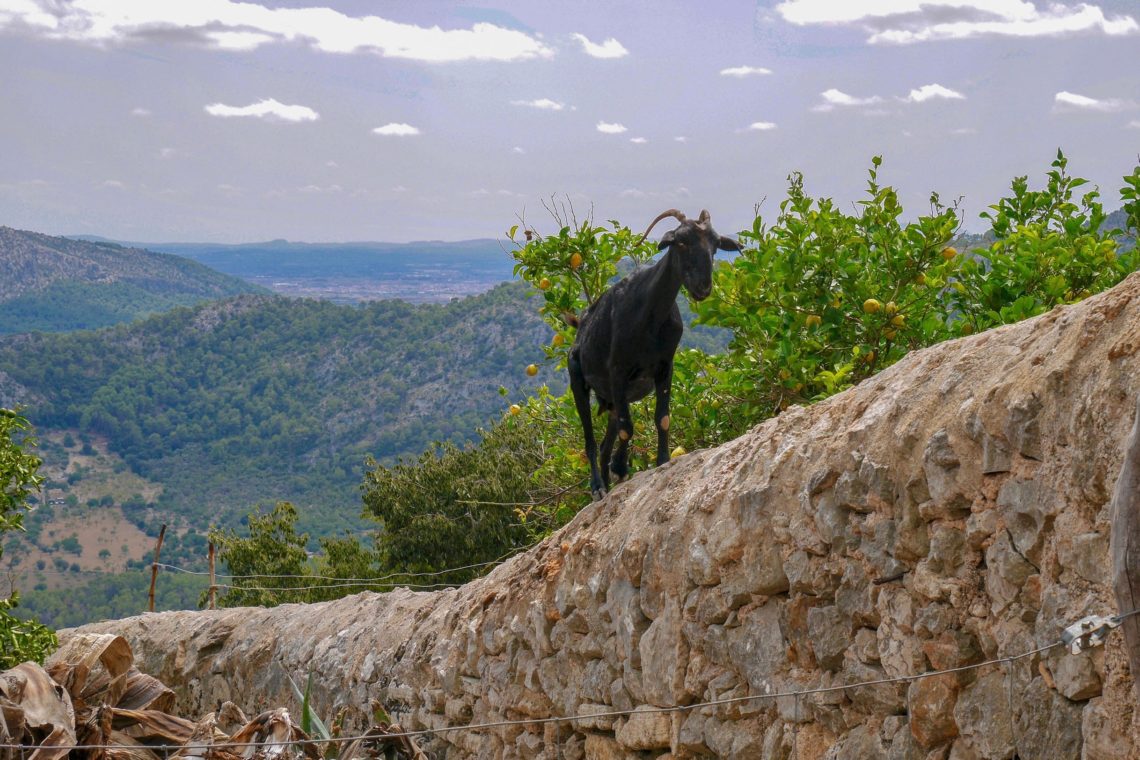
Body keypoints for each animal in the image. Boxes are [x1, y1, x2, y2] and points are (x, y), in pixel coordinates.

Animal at [567, 208, 738, 499]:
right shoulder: (618, 370)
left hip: (612, 401)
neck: (649, 315)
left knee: (603, 444)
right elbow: (627, 428)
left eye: (715, 245)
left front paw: (662, 461)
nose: (703, 288)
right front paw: (620, 467)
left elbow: (663, 418)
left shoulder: (664, 367)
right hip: (579, 380)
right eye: (681, 242)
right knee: (590, 439)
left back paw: (607, 482)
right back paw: (598, 487)